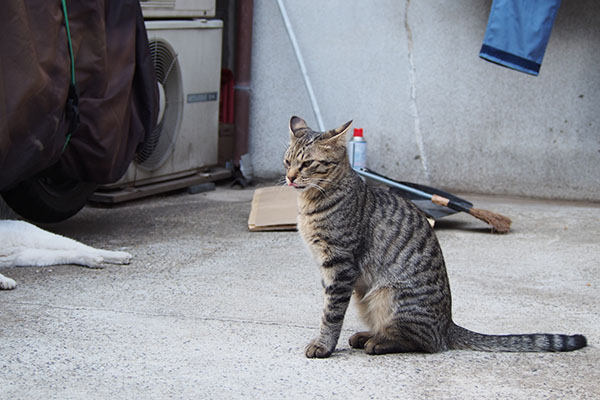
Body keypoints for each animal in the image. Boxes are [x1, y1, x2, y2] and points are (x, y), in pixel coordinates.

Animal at [0, 220, 131, 290]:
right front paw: (4, 282)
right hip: (24, 255)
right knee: (67, 254)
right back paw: (94, 260)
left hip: (42, 240)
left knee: (86, 247)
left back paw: (120, 256)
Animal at [284, 116, 584, 360]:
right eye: (287, 161)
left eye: (307, 164)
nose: (289, 177)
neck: (310, 203)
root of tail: (448, 324)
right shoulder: (329, 271)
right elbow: (328, 306)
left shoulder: (341, 266)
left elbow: (331, 313)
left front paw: (323, 345)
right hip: (368, 299)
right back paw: (368, 335)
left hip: (388, 296)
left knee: (424, 342)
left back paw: (378, 342)